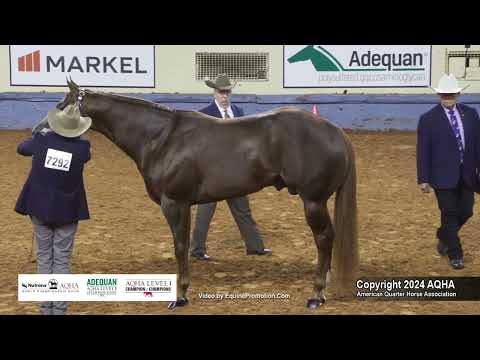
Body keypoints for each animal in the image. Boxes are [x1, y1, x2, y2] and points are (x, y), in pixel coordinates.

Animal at [56, 79, 358, 310]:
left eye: (63, 104)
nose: (45, 129)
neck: (161, 138)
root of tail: (335, 132)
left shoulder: (174, 203)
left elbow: (180, 246)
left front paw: (180, 296)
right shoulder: (186, 204)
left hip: (314, 202)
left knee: (324, 239)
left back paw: (316, 294)